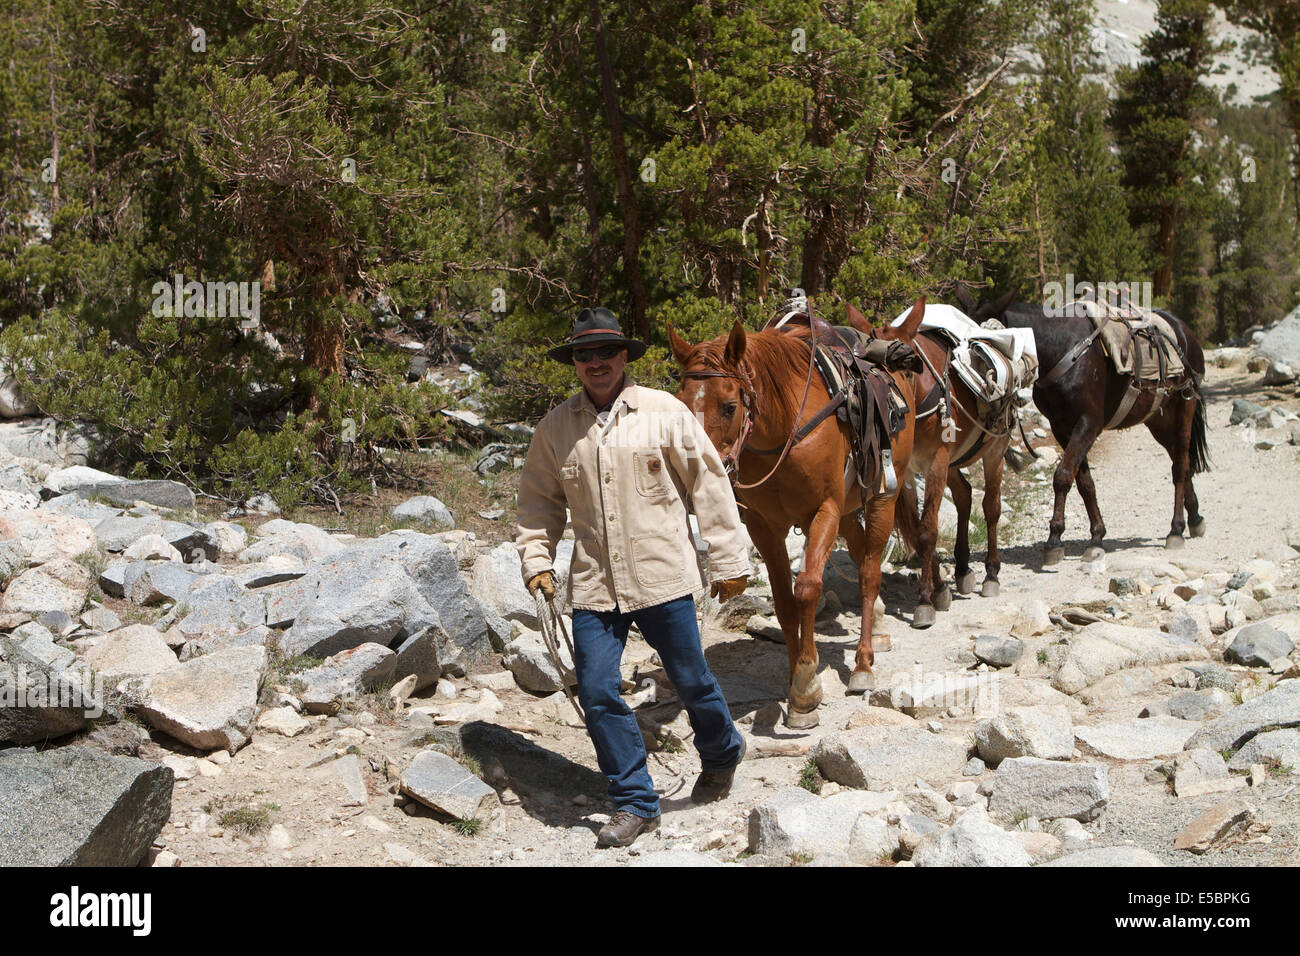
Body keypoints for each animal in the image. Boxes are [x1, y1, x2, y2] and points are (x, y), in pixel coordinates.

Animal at [670, 303, 925, 728]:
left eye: (729, 405)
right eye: (682, 405)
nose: (698, 470)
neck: (784, 428)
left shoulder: (823, 511)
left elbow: (806, 589)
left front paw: (806, 684)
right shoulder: (764, 526)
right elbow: (784, 602)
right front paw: (795, 682)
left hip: (880, 498)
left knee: (870, 573)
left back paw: (863, 663)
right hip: (849, 509)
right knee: (860, 557)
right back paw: (879, 627)